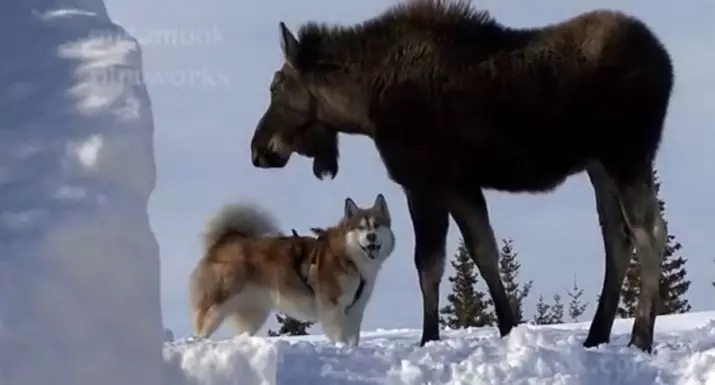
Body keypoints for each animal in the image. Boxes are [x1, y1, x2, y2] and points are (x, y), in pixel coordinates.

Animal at [189, 192, 398, 344]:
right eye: (361, 227)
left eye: (376, 225)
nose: (371, 236)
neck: (351, 260)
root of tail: (222, 243)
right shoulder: (332, 309)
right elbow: (339, 337)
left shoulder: (355, 310)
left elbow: (353, 340)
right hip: (218, 305)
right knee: (202, 327)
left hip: (253, 313)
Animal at [249, 0, 676, 352]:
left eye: (275, 86)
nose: (258, 150)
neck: (363, 106)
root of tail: (665, 62)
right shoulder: (461, 185)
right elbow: (483, 251)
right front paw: (508, 327)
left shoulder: (423, 182)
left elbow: (429, 264)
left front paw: (428, 337)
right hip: (598, 166)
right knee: (617, 239)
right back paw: (596, 334)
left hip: (627, 155)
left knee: (650, 232)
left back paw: (641, 337)